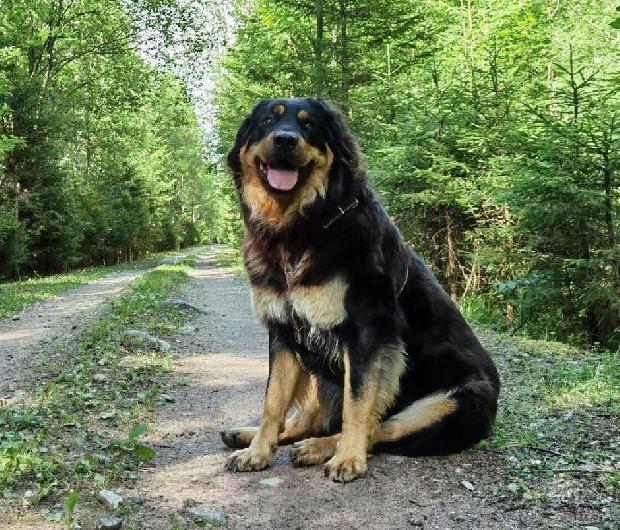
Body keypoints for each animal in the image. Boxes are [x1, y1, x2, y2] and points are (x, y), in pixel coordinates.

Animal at [221, 98, 500, 483]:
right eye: (267, 121)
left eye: (309, 126)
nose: (285, 140)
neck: (300, 226)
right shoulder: (284, 332)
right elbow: (272, 401)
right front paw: (258, 451)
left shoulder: (366, 331)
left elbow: (358, 405)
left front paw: (348, 459)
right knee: (310, 419)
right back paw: (250, 436)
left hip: (453, 400)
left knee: (378, 428)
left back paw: (322, 448)